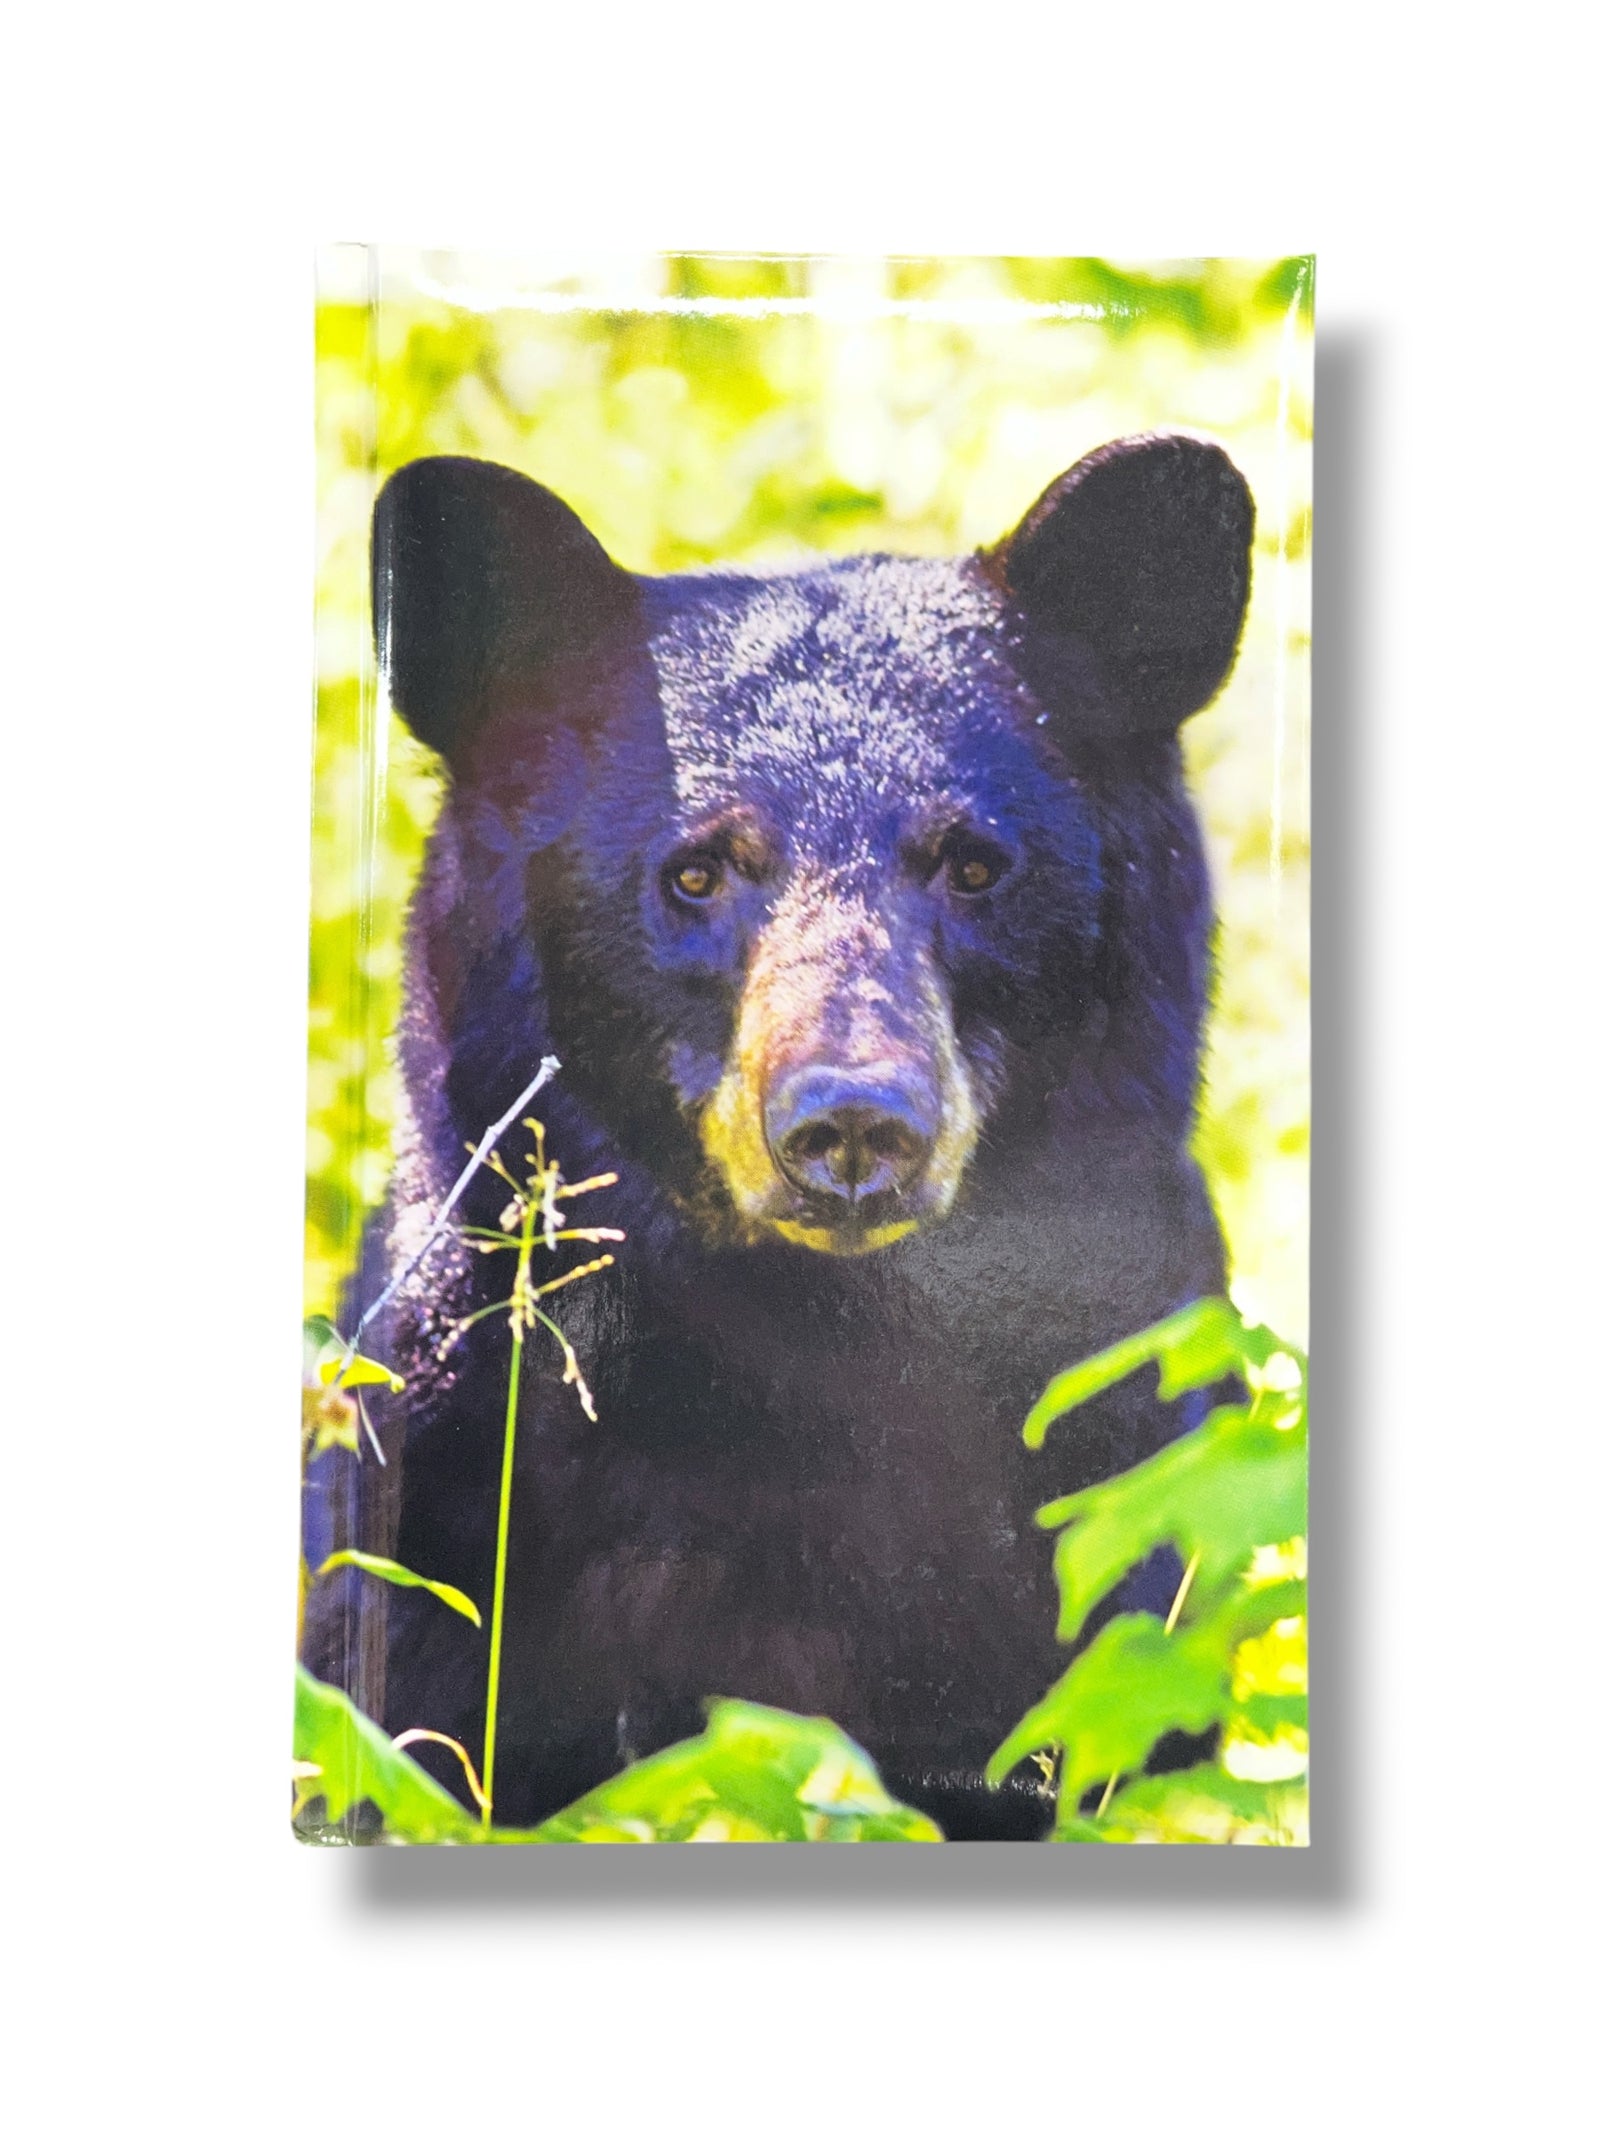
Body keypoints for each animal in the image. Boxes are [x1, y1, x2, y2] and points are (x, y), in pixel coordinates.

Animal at [301, 432, 1255, 1841]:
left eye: (975, 865)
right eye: (697, 872)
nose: (851, 1125)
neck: (800, 1370)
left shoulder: (1119, 1499)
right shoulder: (448, 1498)